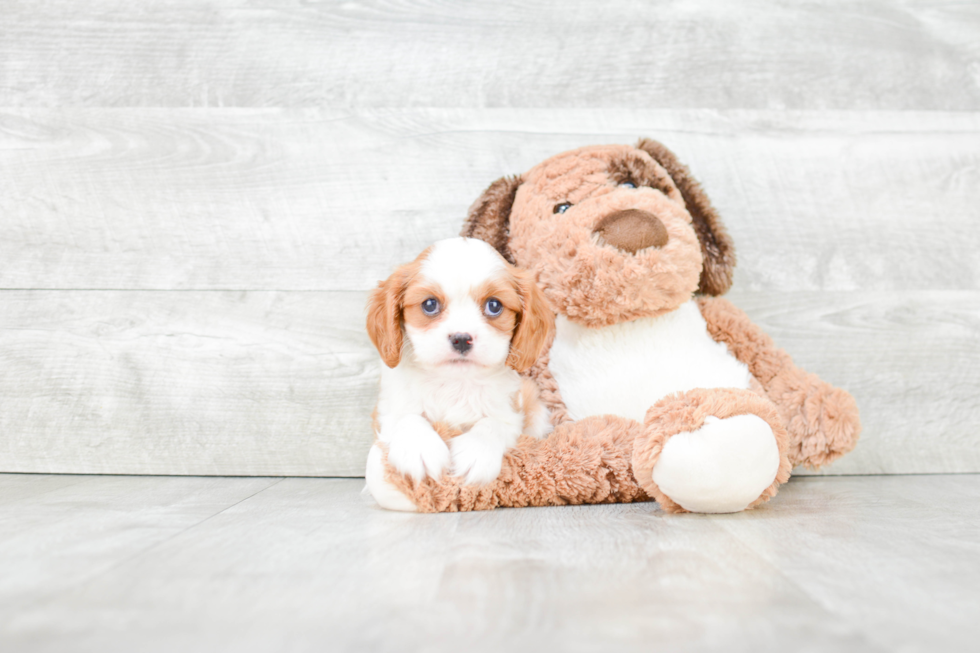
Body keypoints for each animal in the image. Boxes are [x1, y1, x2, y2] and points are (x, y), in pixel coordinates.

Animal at [364, 237, 556, 512]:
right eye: (430, 305)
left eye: (494, 306)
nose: (461, 338)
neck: (454, 382)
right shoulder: (388, 410)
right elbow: (407, 418)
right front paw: (419, 448)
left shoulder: (510, 413)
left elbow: (493, 424)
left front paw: (477, 451)